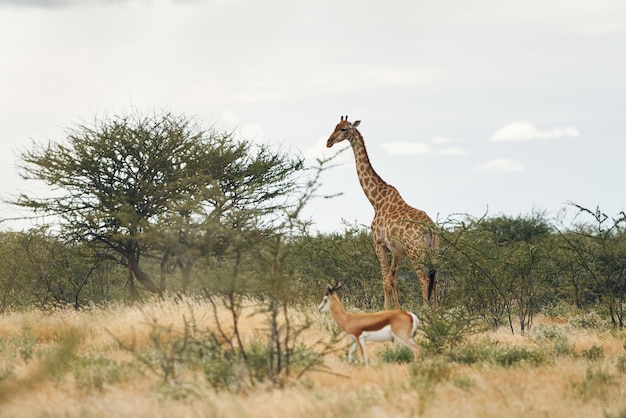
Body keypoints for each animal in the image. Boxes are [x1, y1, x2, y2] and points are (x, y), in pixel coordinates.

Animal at [326, 116, 438, 308]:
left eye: (343, 129)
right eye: (335, 126)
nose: (328, 142)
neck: (375, 200)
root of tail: (430, 228)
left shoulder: (379, 244)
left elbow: (385, 281)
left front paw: (386, 310)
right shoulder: (396, 250)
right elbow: (392, 279)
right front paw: (397, 310)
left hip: (416, 251)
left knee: (424, 278)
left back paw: (426, 310)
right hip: (434, 250)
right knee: (436, 278)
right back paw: (439, 310)